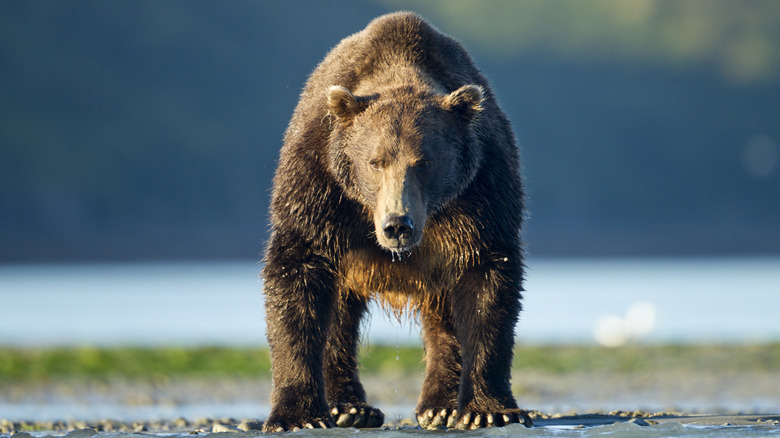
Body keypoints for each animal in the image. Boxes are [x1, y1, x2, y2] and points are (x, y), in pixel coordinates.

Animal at [262, 11, 532, 432]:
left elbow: (487, 286)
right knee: (339, 317)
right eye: (375, 161)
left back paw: (438, 405)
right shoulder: (320, 185)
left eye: (425, 162)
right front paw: (298, 415)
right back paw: (350, 407)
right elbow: (297, 276)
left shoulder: (481, 193)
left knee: (443, 317)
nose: (397, 225)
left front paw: (487, 409)